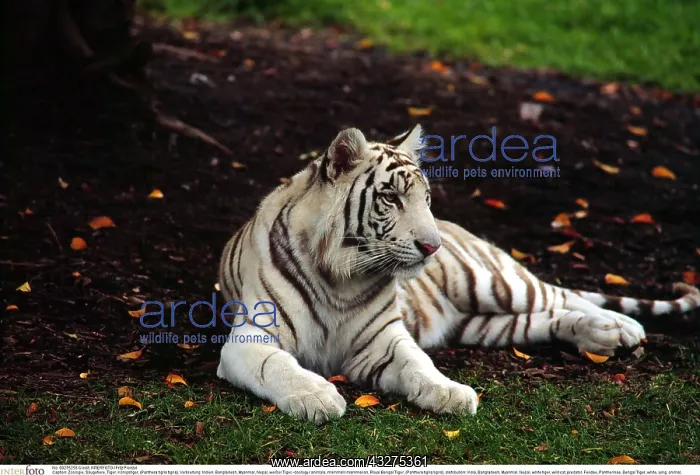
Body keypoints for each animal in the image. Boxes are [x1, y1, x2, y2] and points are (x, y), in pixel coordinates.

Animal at [216, 124, 700, 424]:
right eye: (390, 198)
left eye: (425, 198)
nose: (433, 247)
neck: (342, 278)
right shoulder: (250, 340)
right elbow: (279, 366)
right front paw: (316, 397)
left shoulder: (383, 340)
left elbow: (418, 363)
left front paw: (450, 392)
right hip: (484, 325)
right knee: (548, 316)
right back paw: (603, 336)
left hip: (494, 284)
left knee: (562, 294)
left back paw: (622, 327)